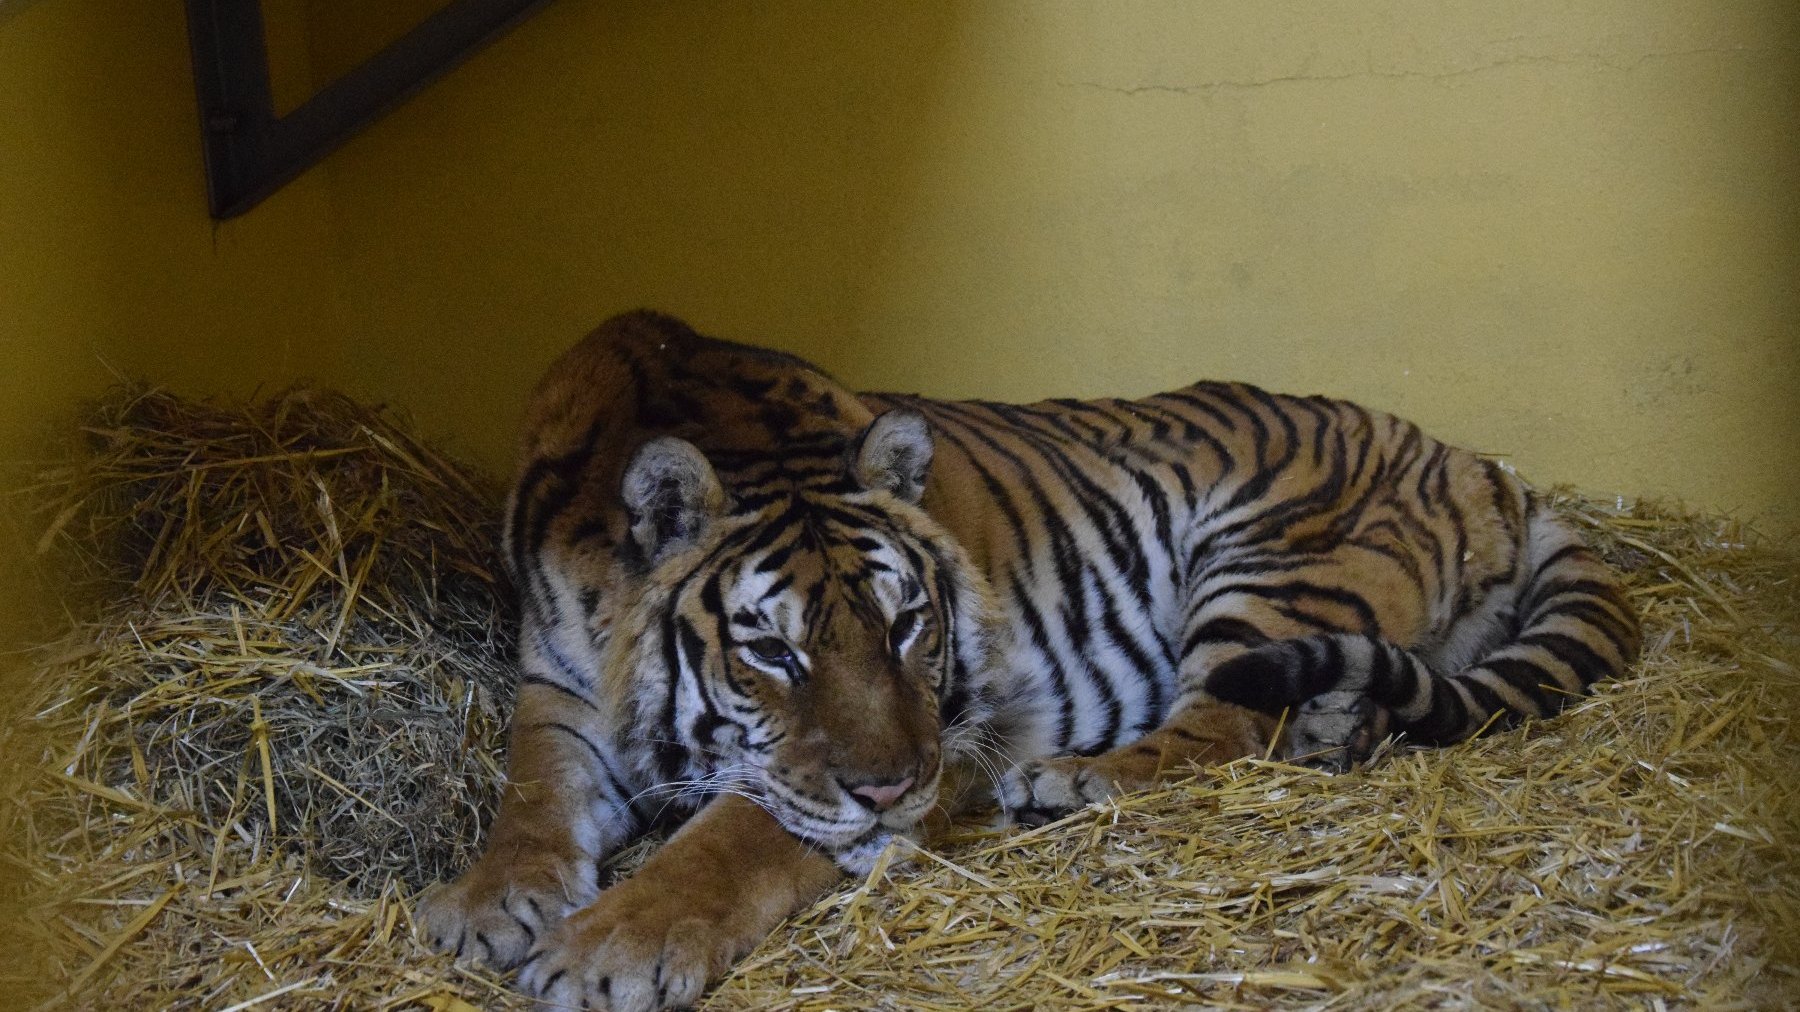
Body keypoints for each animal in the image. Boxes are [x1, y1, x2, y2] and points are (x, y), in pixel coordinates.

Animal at [414, 311, 1641, 1001]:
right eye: (770, 648)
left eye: (909, 623)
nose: (892, 787)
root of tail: (1471, 459)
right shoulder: (557, 687)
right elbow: (531, 795)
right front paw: (489, 903)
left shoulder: (942, 738)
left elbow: (732, 834)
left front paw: (604, 947)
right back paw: (1343, 730)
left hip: (1270, 563)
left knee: (1227, 723)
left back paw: (1074, 782)